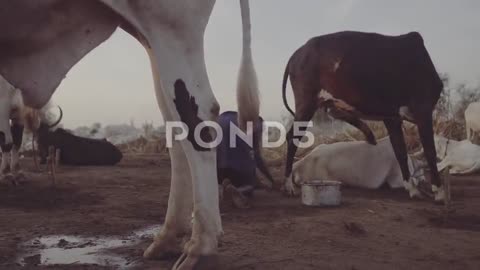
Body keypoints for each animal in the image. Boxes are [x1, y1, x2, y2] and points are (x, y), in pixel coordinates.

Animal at [0, 1, 258, 268]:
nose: (41, 157)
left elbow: (6, 140)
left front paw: (9, 176)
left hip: (172, 27)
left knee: (198, 115)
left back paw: (201, 248)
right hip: (151, 38)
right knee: (174, 126)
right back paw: (168, 239)